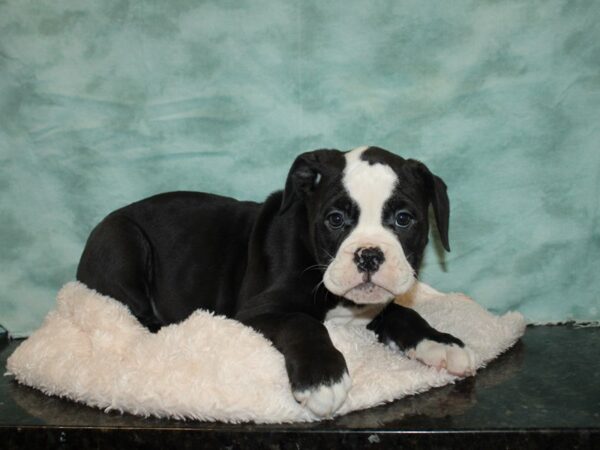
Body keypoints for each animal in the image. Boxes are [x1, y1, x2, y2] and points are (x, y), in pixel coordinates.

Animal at [77, 148, 476, 418]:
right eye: (335, 219)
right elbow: (304, 322)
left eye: (404, 219)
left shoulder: (376, 305)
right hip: (123, 239)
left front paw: (440, 343)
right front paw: (322, 378)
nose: (369, 255)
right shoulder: (257, 311)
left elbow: (404, 314)